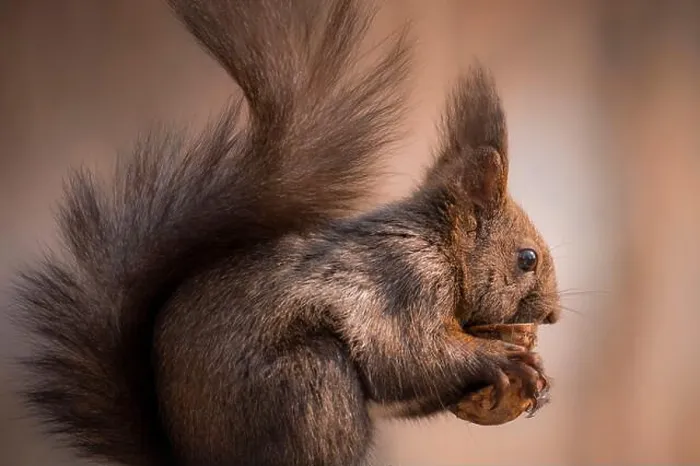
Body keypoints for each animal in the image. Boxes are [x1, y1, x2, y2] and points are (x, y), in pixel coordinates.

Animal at [11, 0, 562, 465]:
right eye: (527, 258)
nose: (554, 315)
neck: (439, 245)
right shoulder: (404, 283)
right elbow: (407, 356)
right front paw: (501, 357)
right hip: (310, 386)